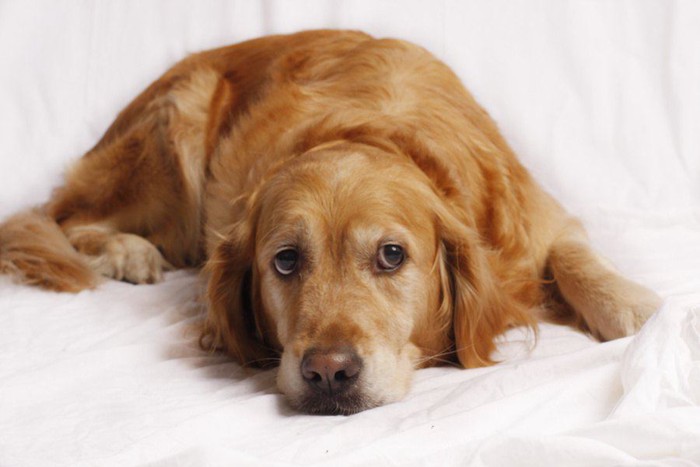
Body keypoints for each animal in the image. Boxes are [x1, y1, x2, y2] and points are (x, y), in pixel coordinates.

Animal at [0, 30, 660, 416]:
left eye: (392, 255)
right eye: (286, 260)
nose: (329, 372)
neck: (371, 130)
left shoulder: (539, 215)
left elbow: (573, 255)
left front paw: (633, 307)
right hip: (174, 127)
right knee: (62, 214)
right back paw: (126, 251)